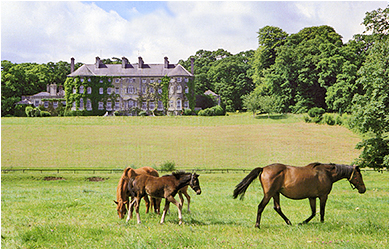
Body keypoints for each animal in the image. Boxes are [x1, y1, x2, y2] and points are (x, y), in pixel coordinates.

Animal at [235, 162, 366, 229]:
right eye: (359, 175)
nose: (363, 189)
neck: (327, 173)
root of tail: (263, 169)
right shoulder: (323, 196)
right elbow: (321, 211)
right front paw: (322, 223)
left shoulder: (312, 197)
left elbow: (313, 212)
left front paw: (302, 222)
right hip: (269, 194)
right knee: (261, 206)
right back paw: (257, 225)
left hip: (276, 193)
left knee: (277, 208)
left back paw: (289, 222)